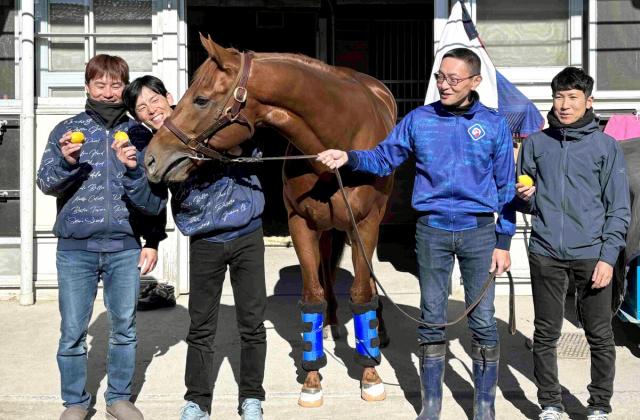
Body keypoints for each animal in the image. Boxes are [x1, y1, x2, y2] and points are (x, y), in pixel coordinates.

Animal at [144, 35, 396, 406]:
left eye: (201, 99)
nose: (151, 157)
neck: (340, 138)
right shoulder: (301, 224)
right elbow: (312, 295)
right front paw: (312, 379)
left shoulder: (364, 225)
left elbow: (362, 292)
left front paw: (370, 375)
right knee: (326, 266)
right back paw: (331, 324)